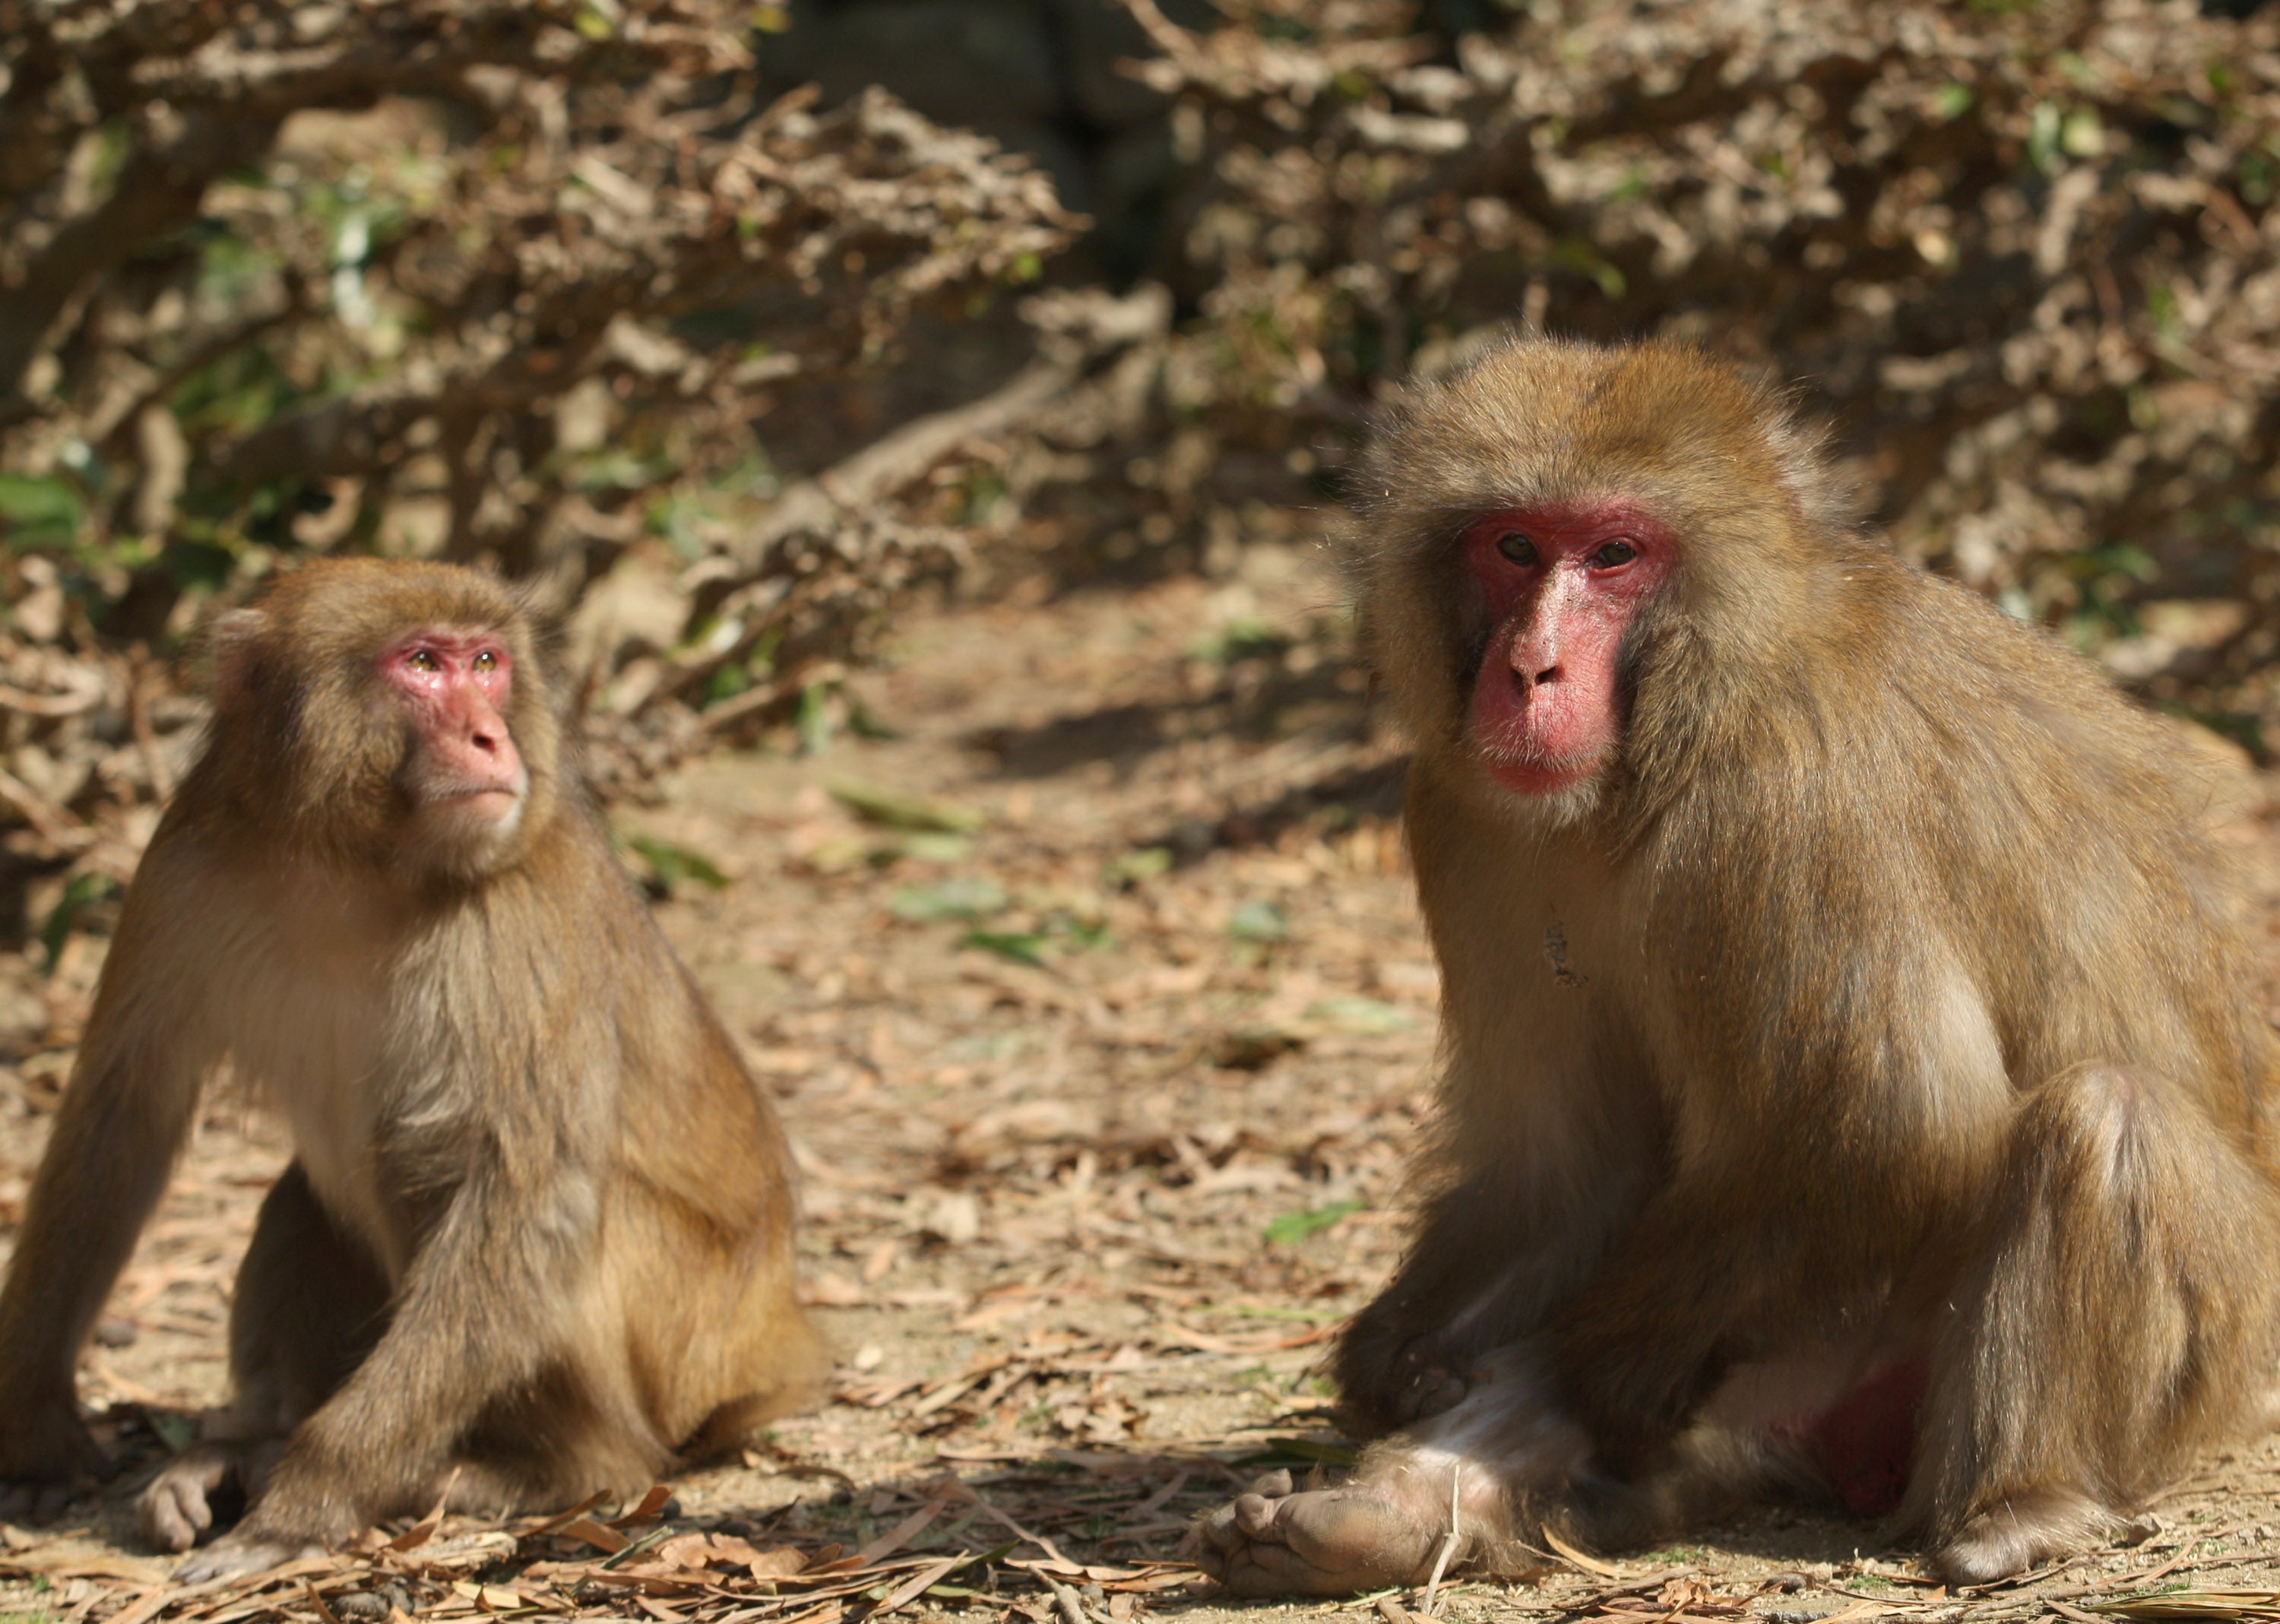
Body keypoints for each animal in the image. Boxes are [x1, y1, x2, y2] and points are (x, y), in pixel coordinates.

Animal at [0, 559, 826, 1580]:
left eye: (487, 662)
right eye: (424, 664)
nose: (489, 735)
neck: (355, 863)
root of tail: (766, 1321)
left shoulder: (516, 912)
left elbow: (527, 1201)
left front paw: (306, 1500)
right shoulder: (184, 859)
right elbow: (121, 1116)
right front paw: (35, 1428)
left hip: (676, 1339)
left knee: (432, 1171)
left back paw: (552, 1470)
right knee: (306, 1195)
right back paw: (249, 1445)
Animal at [1189, 337, 2280, 1595]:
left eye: (1615, 554)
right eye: (1514, 547)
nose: (1532, 669)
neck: (1655, 749)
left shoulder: (1792, 793)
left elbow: (1904, 1120)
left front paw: (1577, 1362)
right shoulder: (1465, 822)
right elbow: (1566, 1166)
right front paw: (1397, 1357)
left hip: (2206, 1355)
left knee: (2102, 1117)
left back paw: (2022, 1508)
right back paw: (1384, 1520)